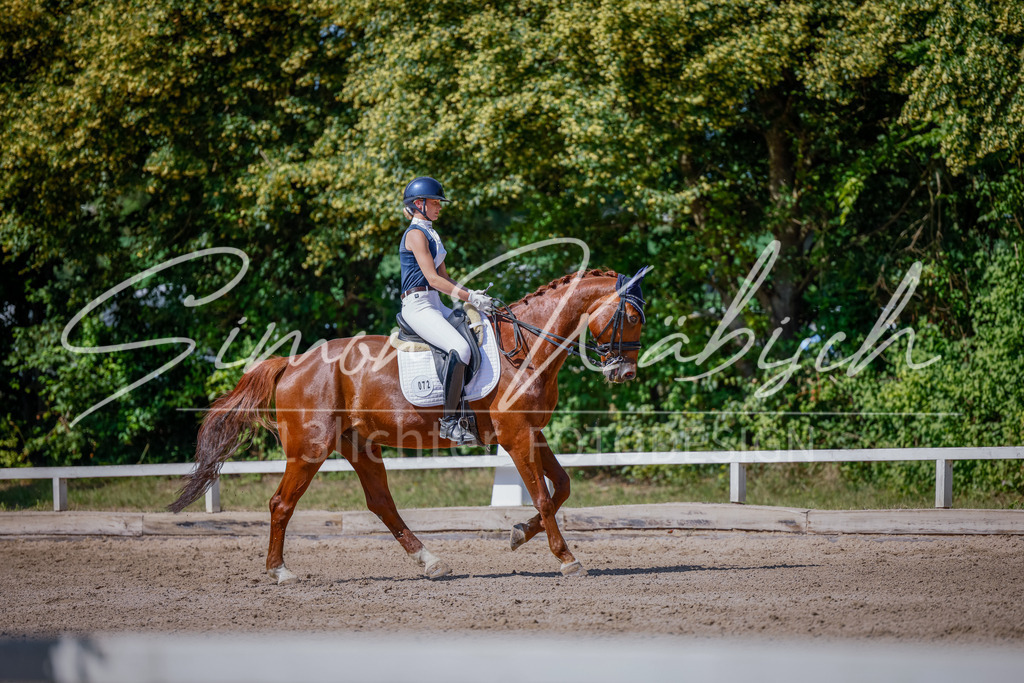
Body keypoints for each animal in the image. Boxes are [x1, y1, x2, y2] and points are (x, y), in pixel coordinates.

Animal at [169, 268, 649, 582]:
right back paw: (280, 572)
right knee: (281, 504)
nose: (625, 374)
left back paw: (431, 562)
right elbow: (546, 497)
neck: (526, 346)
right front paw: (566, 559)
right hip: (309, 449)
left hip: (359, 445)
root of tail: (293, 362)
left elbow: (563, 486)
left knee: (382, 503)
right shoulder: (517, 437)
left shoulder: (532, 433)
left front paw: (517, 535)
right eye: (631, 317)